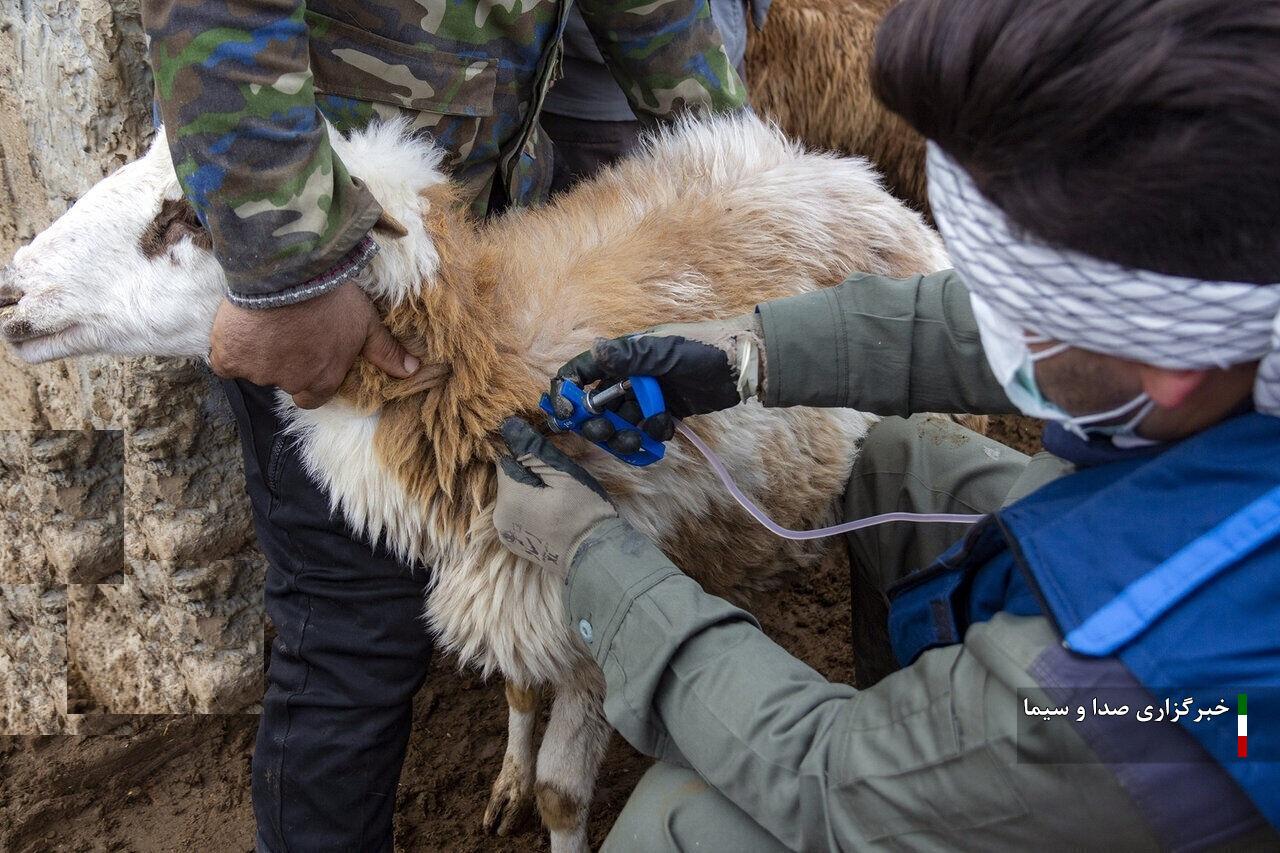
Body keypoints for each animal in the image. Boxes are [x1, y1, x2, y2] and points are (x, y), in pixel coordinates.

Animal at [2, 114, 952, 850]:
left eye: (190, 219)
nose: (10, 291)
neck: (473, 362)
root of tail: (846, 171)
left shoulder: (594, 611)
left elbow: (564, 796)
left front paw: (543, 797)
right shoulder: (511, 584)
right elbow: (521, 688)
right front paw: (503, 783)